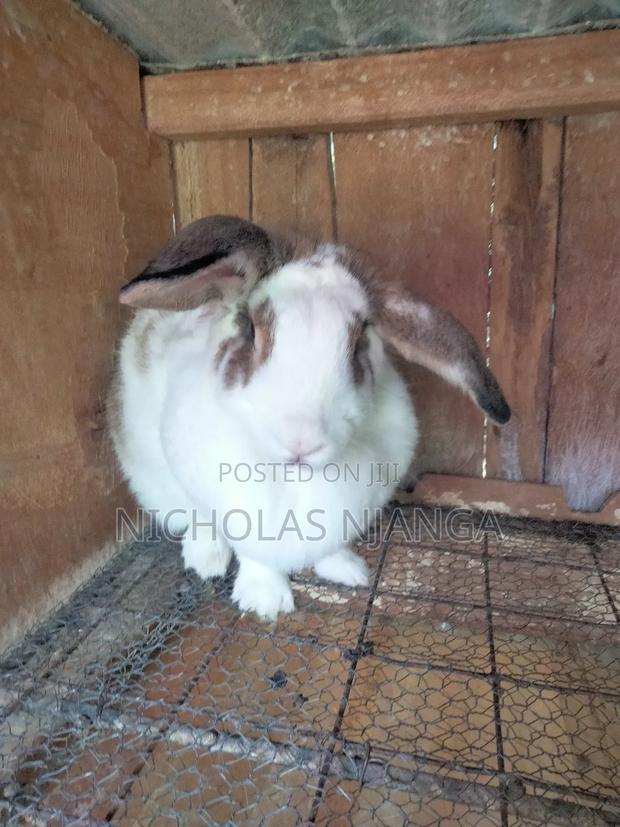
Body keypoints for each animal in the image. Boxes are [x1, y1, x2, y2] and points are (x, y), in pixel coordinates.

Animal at [110, 215, 510, 620]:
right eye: (250, 329)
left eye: (360, 339)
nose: (300, 442)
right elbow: (254, 553)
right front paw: (265, 601)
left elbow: (328, 549)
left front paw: (348, 571)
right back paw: (205, 559)